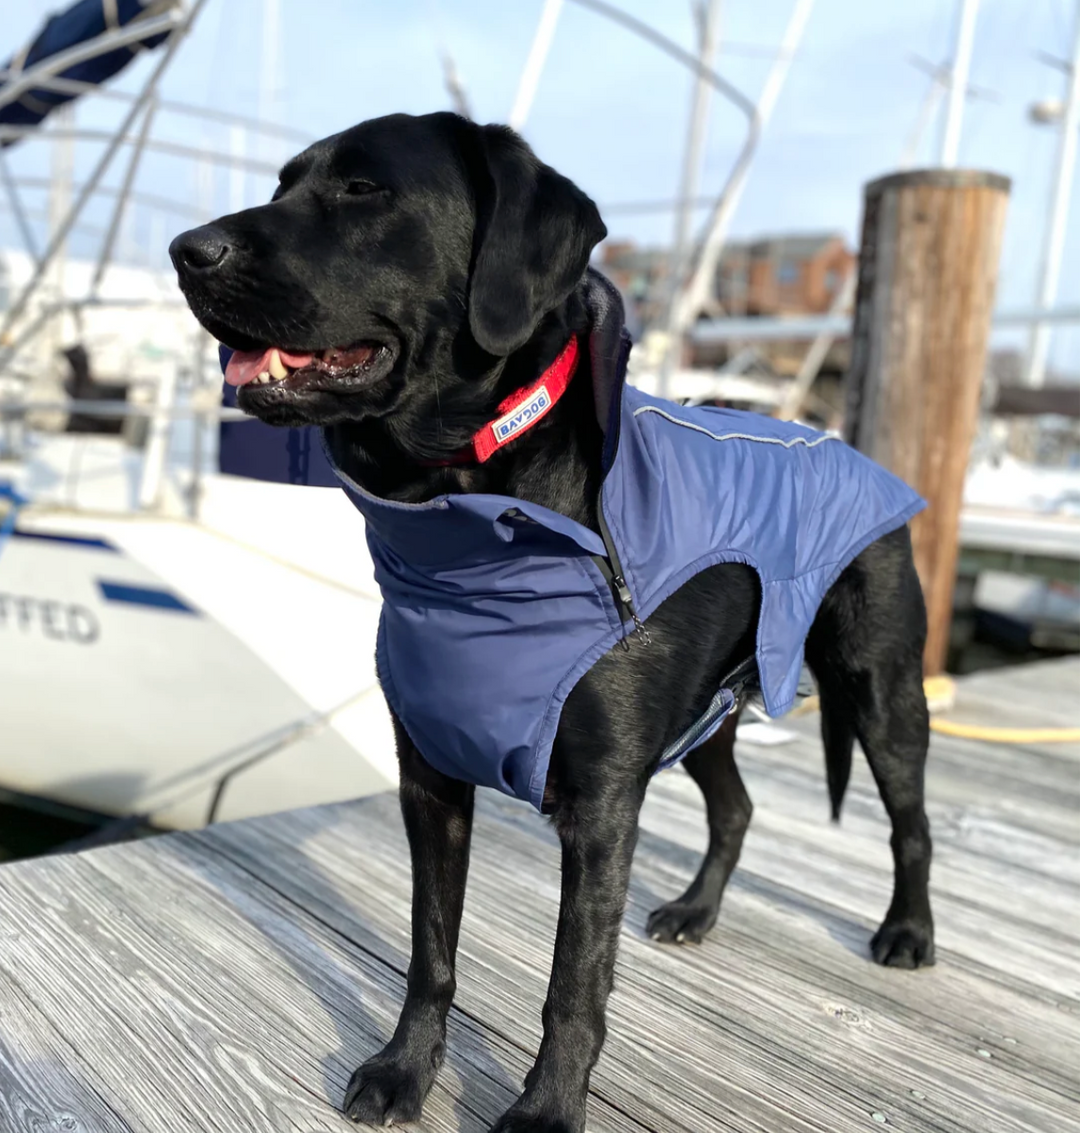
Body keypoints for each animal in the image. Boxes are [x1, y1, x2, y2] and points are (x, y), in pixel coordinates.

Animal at [172, 108, 929, 1133]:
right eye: (284, 183)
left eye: (363, 190)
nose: (186, 250)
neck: (469, 515)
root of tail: (850, 446)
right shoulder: (431, 779)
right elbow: (431, 951)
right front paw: (405, 1069)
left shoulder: (602, 802)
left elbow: (573, 980)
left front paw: (544, 1109)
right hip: (704, 715)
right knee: (736, 806)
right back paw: (695, 911)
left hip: (879, 687)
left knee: (908, 822)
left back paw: (907, 931)